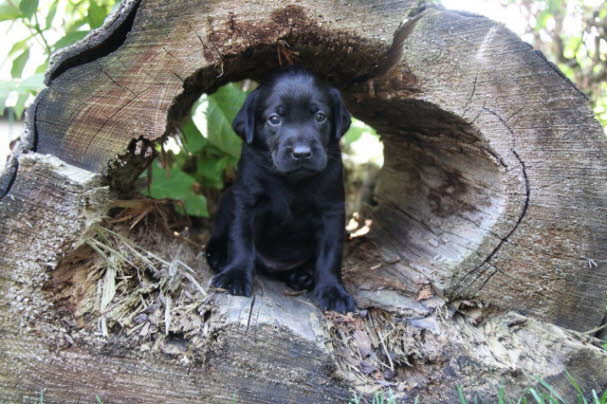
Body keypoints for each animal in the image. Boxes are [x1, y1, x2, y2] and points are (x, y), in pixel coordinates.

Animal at [207, 65, 356, 312]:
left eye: (320, 116)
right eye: (274, 119)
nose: (302, 153)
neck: (291, 181)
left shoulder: (332, 210)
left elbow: (330, 254)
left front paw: (333, 291)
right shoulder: (246, 201)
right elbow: (241, 239)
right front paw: (235, 275)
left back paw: (301, 276)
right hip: (228, 198)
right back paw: (218, 255)